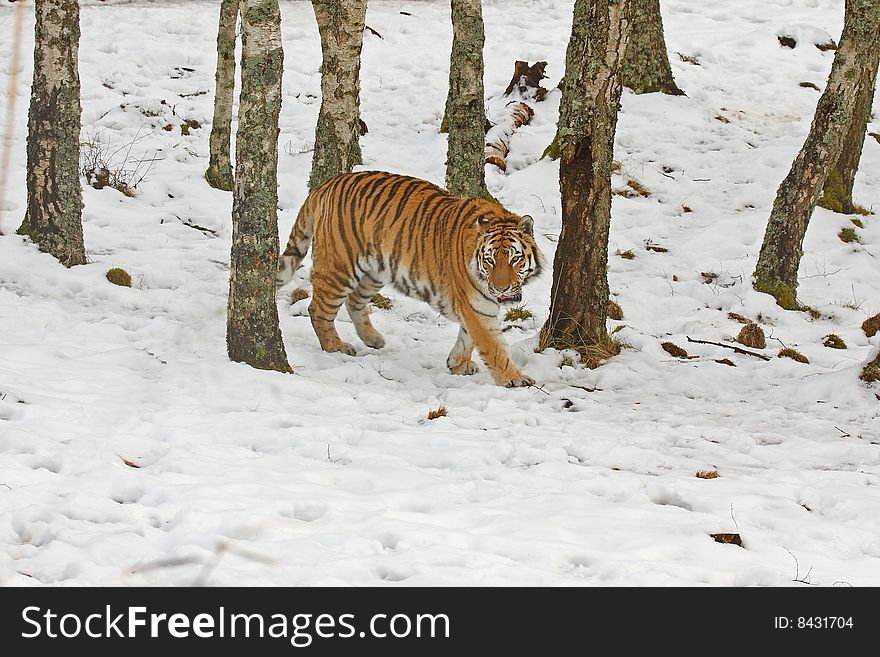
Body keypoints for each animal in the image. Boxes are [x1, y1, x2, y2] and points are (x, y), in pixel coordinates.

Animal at [278, 170, 548, 384]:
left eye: (515, 259)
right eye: (490, 260)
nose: (501, 289)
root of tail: (328, 183)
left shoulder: (478, 306)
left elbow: (468, 337)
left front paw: (457, 363)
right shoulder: (477, 306)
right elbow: (493, 346)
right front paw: (514, 379)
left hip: (375, 271)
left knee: (355, 301)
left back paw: (373, 339)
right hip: (339, 267)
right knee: (318, 309)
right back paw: (336, 347)